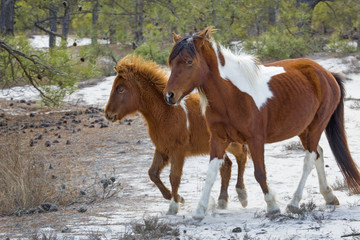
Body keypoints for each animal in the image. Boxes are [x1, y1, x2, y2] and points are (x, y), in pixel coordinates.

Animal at [105, 54, 249, 216]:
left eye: (120, 89)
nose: (108, 114)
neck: (166, 112)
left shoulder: (178, 152)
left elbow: (174, 177)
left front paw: (173, 206)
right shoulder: (162, 149)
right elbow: (152, 173)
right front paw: (176, 197)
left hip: (233, 142)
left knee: (241, 156)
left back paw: (242, 196)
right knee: (227, 166)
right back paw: (222, 201)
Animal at [165, 26, 360, 219]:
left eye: (189, 62)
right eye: (171, 62)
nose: (169, 96)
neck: (232, 96)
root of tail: (327, 74)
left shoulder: (256, 140)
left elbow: (259, 173)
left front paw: (272, 206)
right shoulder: (218, 139)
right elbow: (212, 172)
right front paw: (200, 210)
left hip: (316, 127)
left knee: (309, 158)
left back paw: (294, 202)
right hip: (304, 130)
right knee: (318, 153)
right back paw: (329, 196)